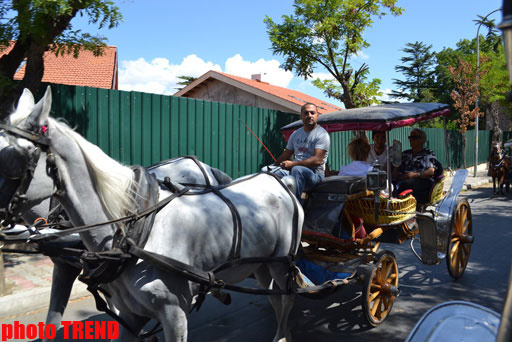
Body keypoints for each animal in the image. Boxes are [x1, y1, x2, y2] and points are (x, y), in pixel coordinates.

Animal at [0, 87, 304, 340]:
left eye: (15, 154)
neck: (132, 233)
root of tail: (280, 179)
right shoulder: (130, 314)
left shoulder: (174, 314)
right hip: (260, 263)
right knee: (274, 297)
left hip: (281, 262)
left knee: (288, 297)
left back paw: (282, 335)